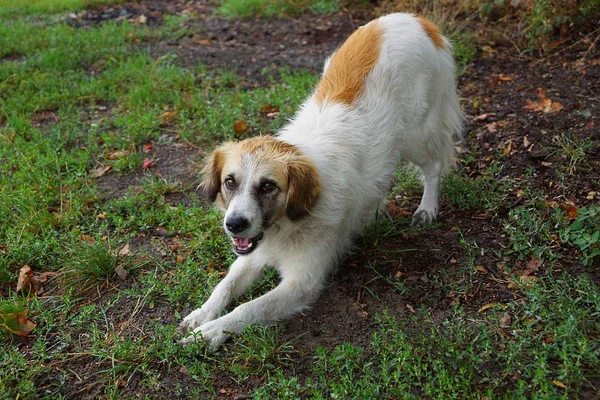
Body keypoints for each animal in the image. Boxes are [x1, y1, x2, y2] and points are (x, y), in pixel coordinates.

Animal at [177, 12, 460, 346]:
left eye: (268, 186)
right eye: (230, 182)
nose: (234, 225)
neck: (286, 225)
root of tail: (415, 18)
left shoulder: (303, 282)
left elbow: (248, 308)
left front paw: (210, 332)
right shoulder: (252, 253)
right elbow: (226, 285)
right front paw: (202, 314)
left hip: (416, 136)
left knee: (434, 166)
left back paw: (427, 208)